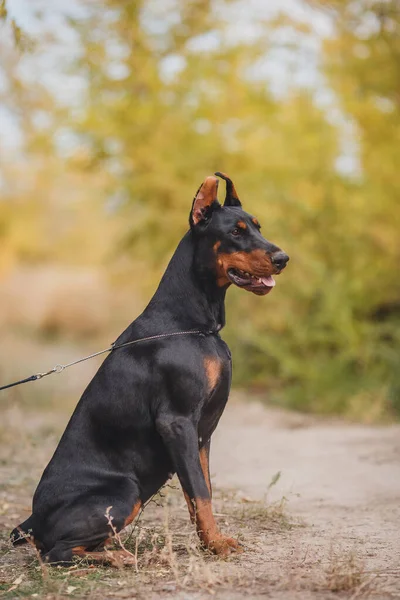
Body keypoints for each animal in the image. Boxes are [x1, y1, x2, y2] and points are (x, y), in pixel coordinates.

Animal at [10, 172, 290, 564]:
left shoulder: (200, 435)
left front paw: (211, 541)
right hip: (125, 491)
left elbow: (200, 492)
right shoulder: (178, 421)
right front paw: (217, 545)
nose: (283, 258)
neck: (195, 324)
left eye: (257, 227)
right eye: (235, 232)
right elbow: (201, 492)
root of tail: (32, 522)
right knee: (58, 552)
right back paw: (119, 558)